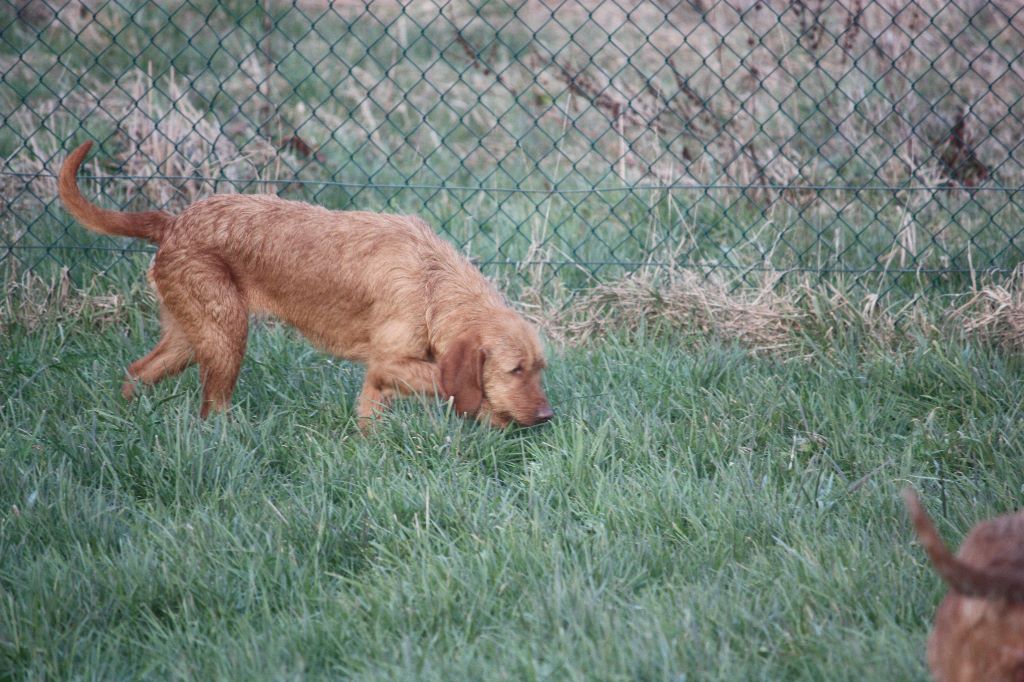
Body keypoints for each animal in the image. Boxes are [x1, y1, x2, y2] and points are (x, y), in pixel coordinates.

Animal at [58, 141, 552, 428]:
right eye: (515, 370)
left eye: (539, 368)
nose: (548, 415)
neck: (432, 281)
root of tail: (173, 222)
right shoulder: (387, 363)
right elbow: (449, 385)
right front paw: (489, 412)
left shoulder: (379, 380)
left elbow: (371, 418)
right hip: (226, 339)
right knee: (209, 407)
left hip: (191, 337)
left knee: (136, 372)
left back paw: (122, 417)